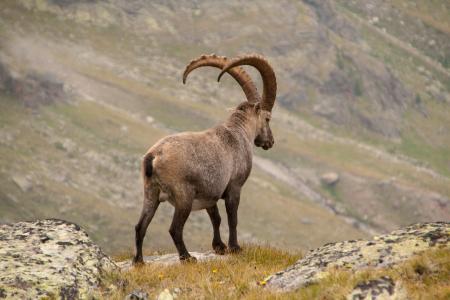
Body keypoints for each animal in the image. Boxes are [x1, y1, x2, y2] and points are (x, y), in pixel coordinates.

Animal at [132, 53, 276, 262]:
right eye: (267, 118)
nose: (270, 142)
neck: (238, 132)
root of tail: (153, 156)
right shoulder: (234, 187)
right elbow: (232, 218)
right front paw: (235, 247)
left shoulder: (211, 193)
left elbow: (216, 218)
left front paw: (219, 246)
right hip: (183, 197)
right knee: (174, 229)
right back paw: (187, 257)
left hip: (150, 193)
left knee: (140, 226)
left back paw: (139, 262)